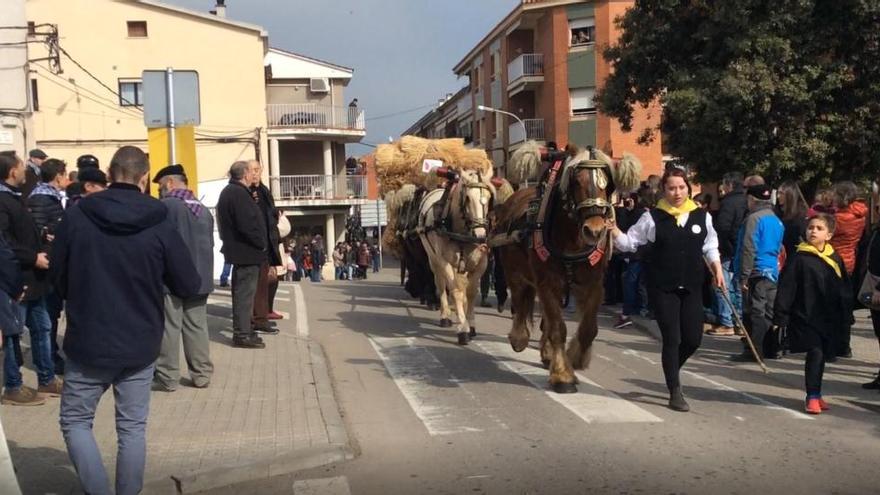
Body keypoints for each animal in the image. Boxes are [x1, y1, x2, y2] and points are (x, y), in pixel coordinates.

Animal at [420, 169, 496, 346]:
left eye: (489, 197)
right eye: (467, 198)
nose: (480, 236)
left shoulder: (480, 264)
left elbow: (471, 292)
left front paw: (471, 324)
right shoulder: (445, 262)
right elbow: (455, 291)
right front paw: (463, 329)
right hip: (434, 259)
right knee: (441, 284)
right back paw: (446, 315)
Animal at [496, 144, 640, 396]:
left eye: (608, 183)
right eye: (576, 181)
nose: (595, 230)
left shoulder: (594, 285)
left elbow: (588, 329)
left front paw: (575, 359)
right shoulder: (547, 283)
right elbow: (558, 328)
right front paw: (562, 375)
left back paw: (546, 353)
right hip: (514, 272)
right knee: (520, 303)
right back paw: (519, 338)